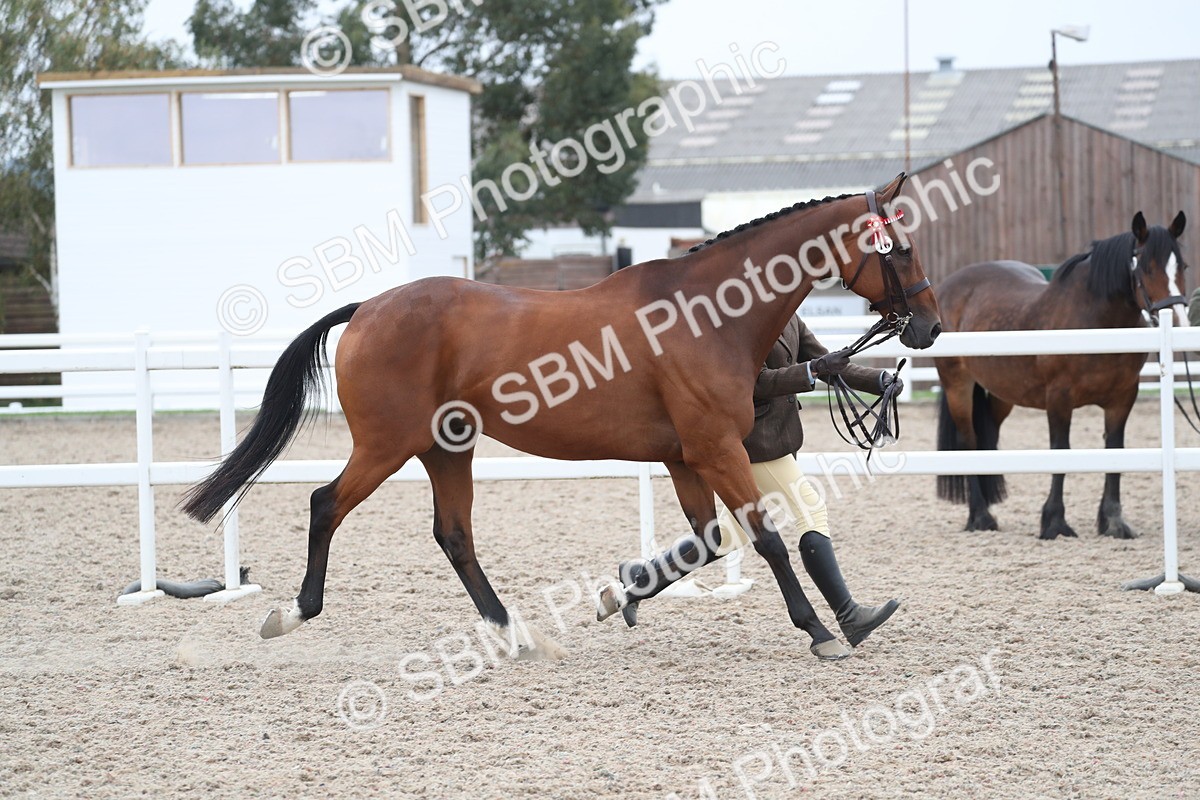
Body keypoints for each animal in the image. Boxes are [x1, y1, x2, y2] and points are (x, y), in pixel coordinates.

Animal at [182, 173, 941, 657]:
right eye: (901, 249)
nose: (930, 327)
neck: (708, 314)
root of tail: (369, 307)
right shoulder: (717, 448)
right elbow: (769, 541)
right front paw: (820, 633)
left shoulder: (685, 456)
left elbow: (707, 543)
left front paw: (623, 594)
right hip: (387, 445)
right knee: (325, 504)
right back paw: (292, 613)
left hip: (445, 447)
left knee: (453, 535)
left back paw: (514, 633)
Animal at [935, 211, 1188, 540]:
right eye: (1147, 267)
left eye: (1182, 266)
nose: (1180, 322)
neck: (1094, 322)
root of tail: (945, 288)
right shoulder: (1059, 399)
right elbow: (1061, 452)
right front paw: (1054, 522)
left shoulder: (1122, 399)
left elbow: (1115, 451)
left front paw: (1114, 522)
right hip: (958, 386)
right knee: (969, 442)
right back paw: (980, 516)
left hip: (1003, 394)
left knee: (989, 436)